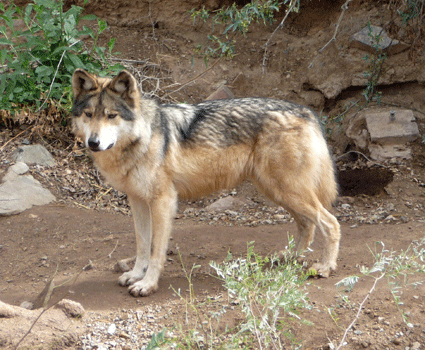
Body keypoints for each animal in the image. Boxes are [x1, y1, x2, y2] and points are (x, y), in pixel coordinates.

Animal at [71, 67, 340, 296]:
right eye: (89, 115)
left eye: (111, 116)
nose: (93, 142)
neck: (142, 138)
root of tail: (307, 112)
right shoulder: (137, 200)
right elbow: (142, 245)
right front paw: (136, 275)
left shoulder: (163, 201)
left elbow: (156, 251)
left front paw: (147, 284)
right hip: (277, 191)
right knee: (307, 225)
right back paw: (291, 258)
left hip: (286, 191)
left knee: (330, 222)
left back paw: (325, 267)